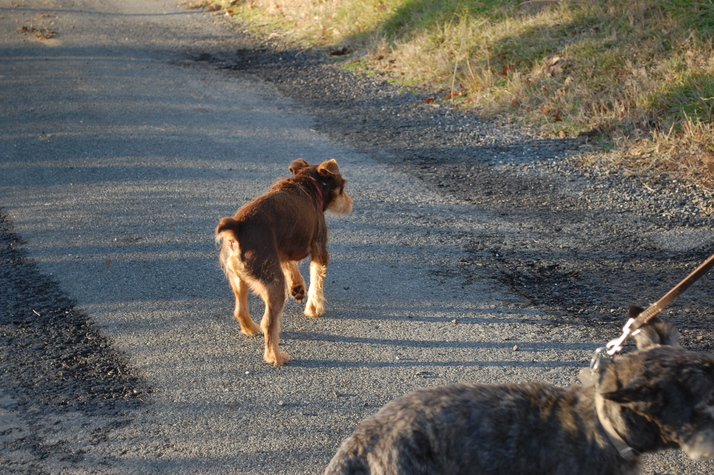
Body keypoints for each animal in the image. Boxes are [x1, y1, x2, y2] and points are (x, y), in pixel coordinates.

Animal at [216, 158, 352, 366]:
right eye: (342, 187)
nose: (350, 203)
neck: (309, 183)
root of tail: (237, 228)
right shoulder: (319, 249)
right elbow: (317, 281)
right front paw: (314, 308)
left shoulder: (282, 250)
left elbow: (291, 266)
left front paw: (298, 288)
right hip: (274, 285)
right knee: (269, 323)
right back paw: (276, 357)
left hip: (238, 278)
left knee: (240, 310)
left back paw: (251, 329)